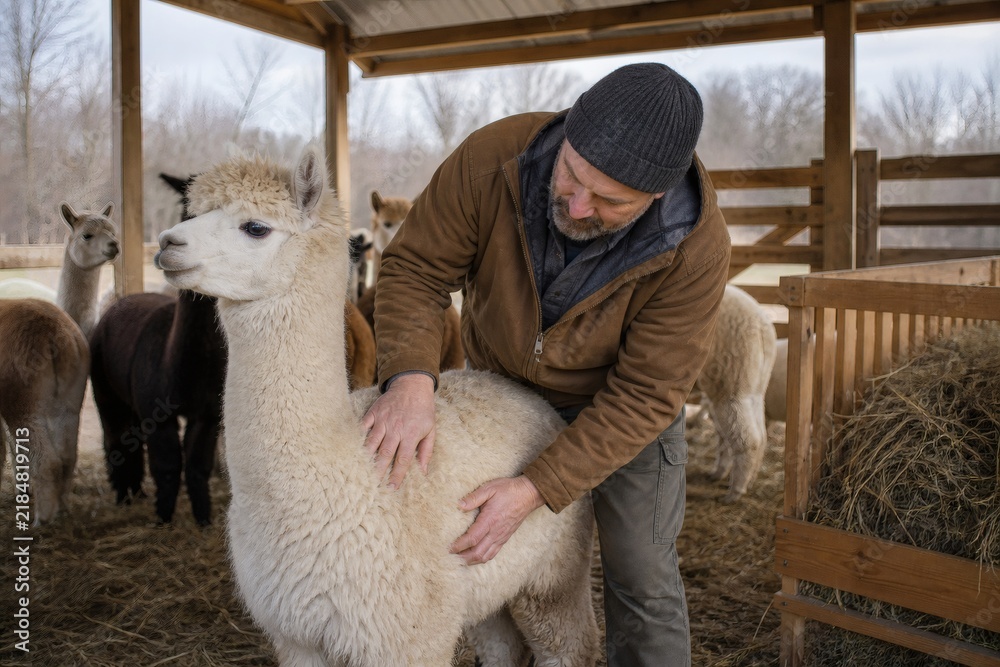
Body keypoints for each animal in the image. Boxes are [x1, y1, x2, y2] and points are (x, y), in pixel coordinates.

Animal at [0, 299, 90, 524]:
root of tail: (55, 332)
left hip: (22, 400)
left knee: (48, 462)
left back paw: (43, 519)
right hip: (70, 401)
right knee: (66, 458)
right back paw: (62, 509)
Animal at [154, 146, 598, 666]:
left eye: (256, 227)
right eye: (193, 212)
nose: (167, 243)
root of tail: (526, 394)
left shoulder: (409, 638)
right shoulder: (298, 637)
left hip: (554, 577)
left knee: (570, 643)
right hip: (485, 587)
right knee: (503, 646)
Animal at [694, 285, 778, 504]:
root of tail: (761, 326)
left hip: (731, 378)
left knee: (748, 438)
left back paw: (735, 492)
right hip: (754, 386)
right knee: (759, 434)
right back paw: (745, 479)